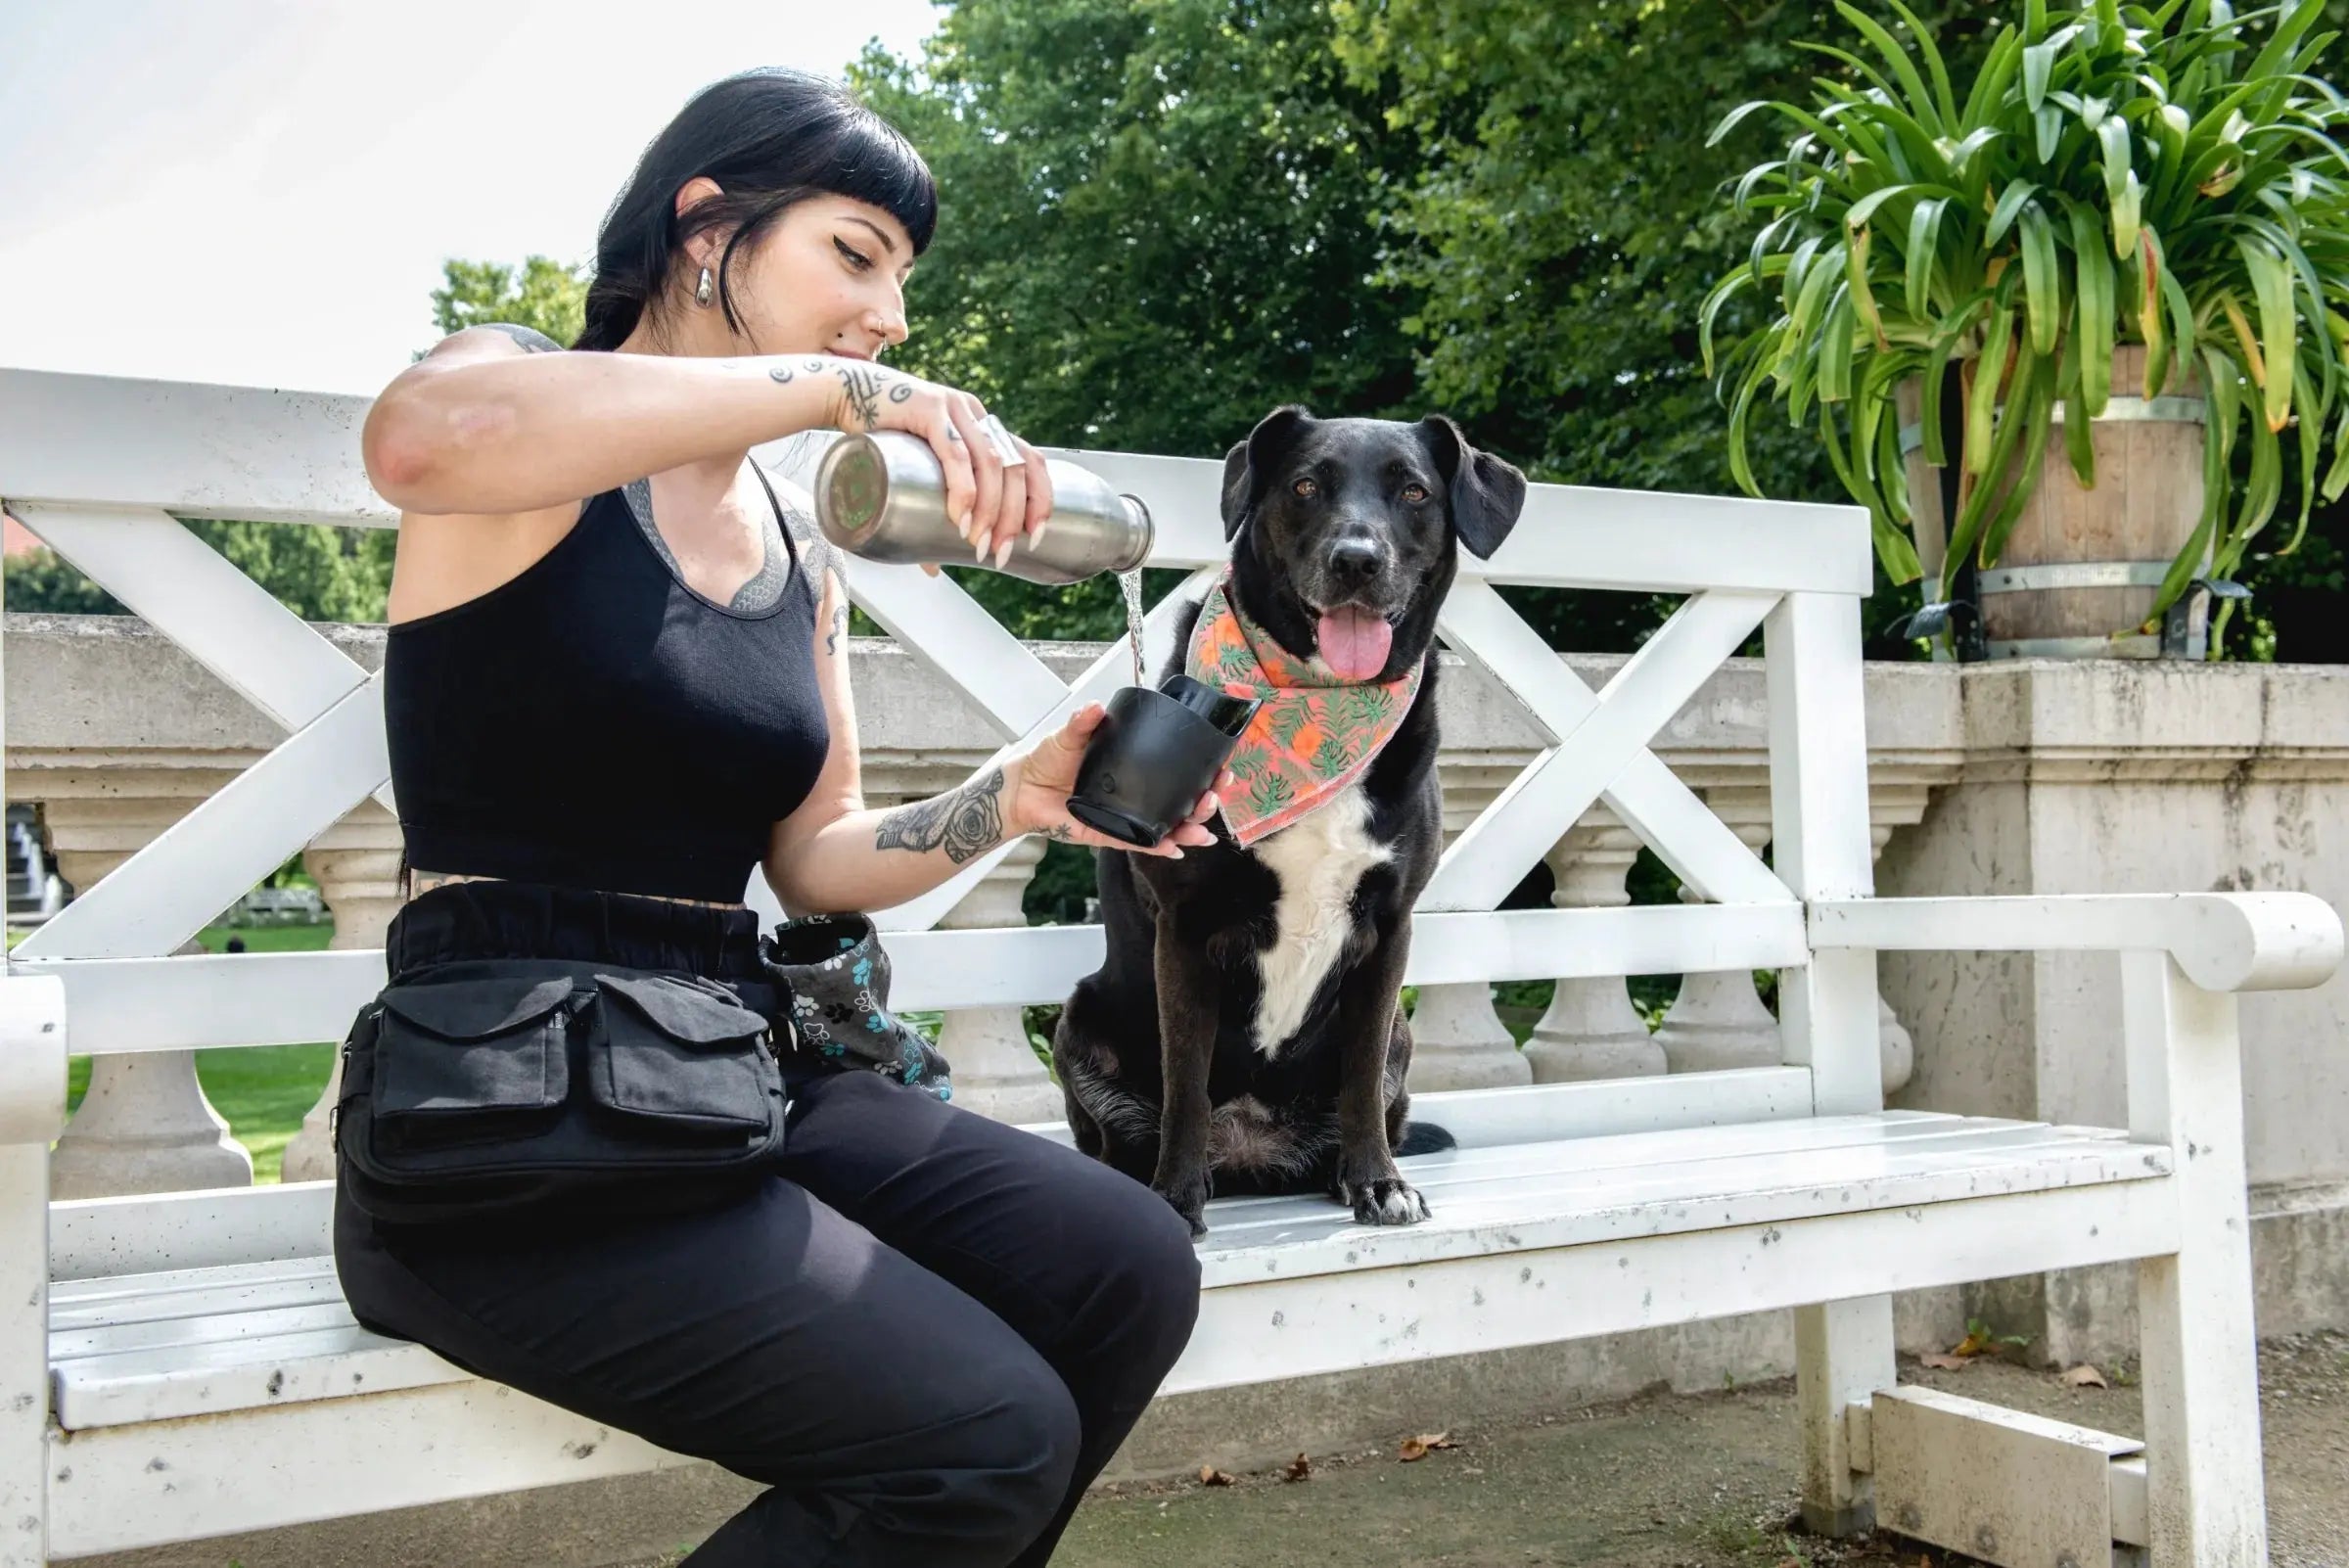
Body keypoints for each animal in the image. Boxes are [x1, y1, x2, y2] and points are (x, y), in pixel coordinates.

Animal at [1057, 408, 1531, 1239]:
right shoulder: (1185, 930)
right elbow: (1185, 1083)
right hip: (1079, 1017)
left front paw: (1380, 1183)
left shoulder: (1389, 931)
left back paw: (1343, 1173)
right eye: (1306, 486)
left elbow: (1362, 1078)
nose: (1356, 561)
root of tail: (1250, 1153)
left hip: (1401, 1034)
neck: (1322, 703)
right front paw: (1174, 1199)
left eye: (1414, 491)